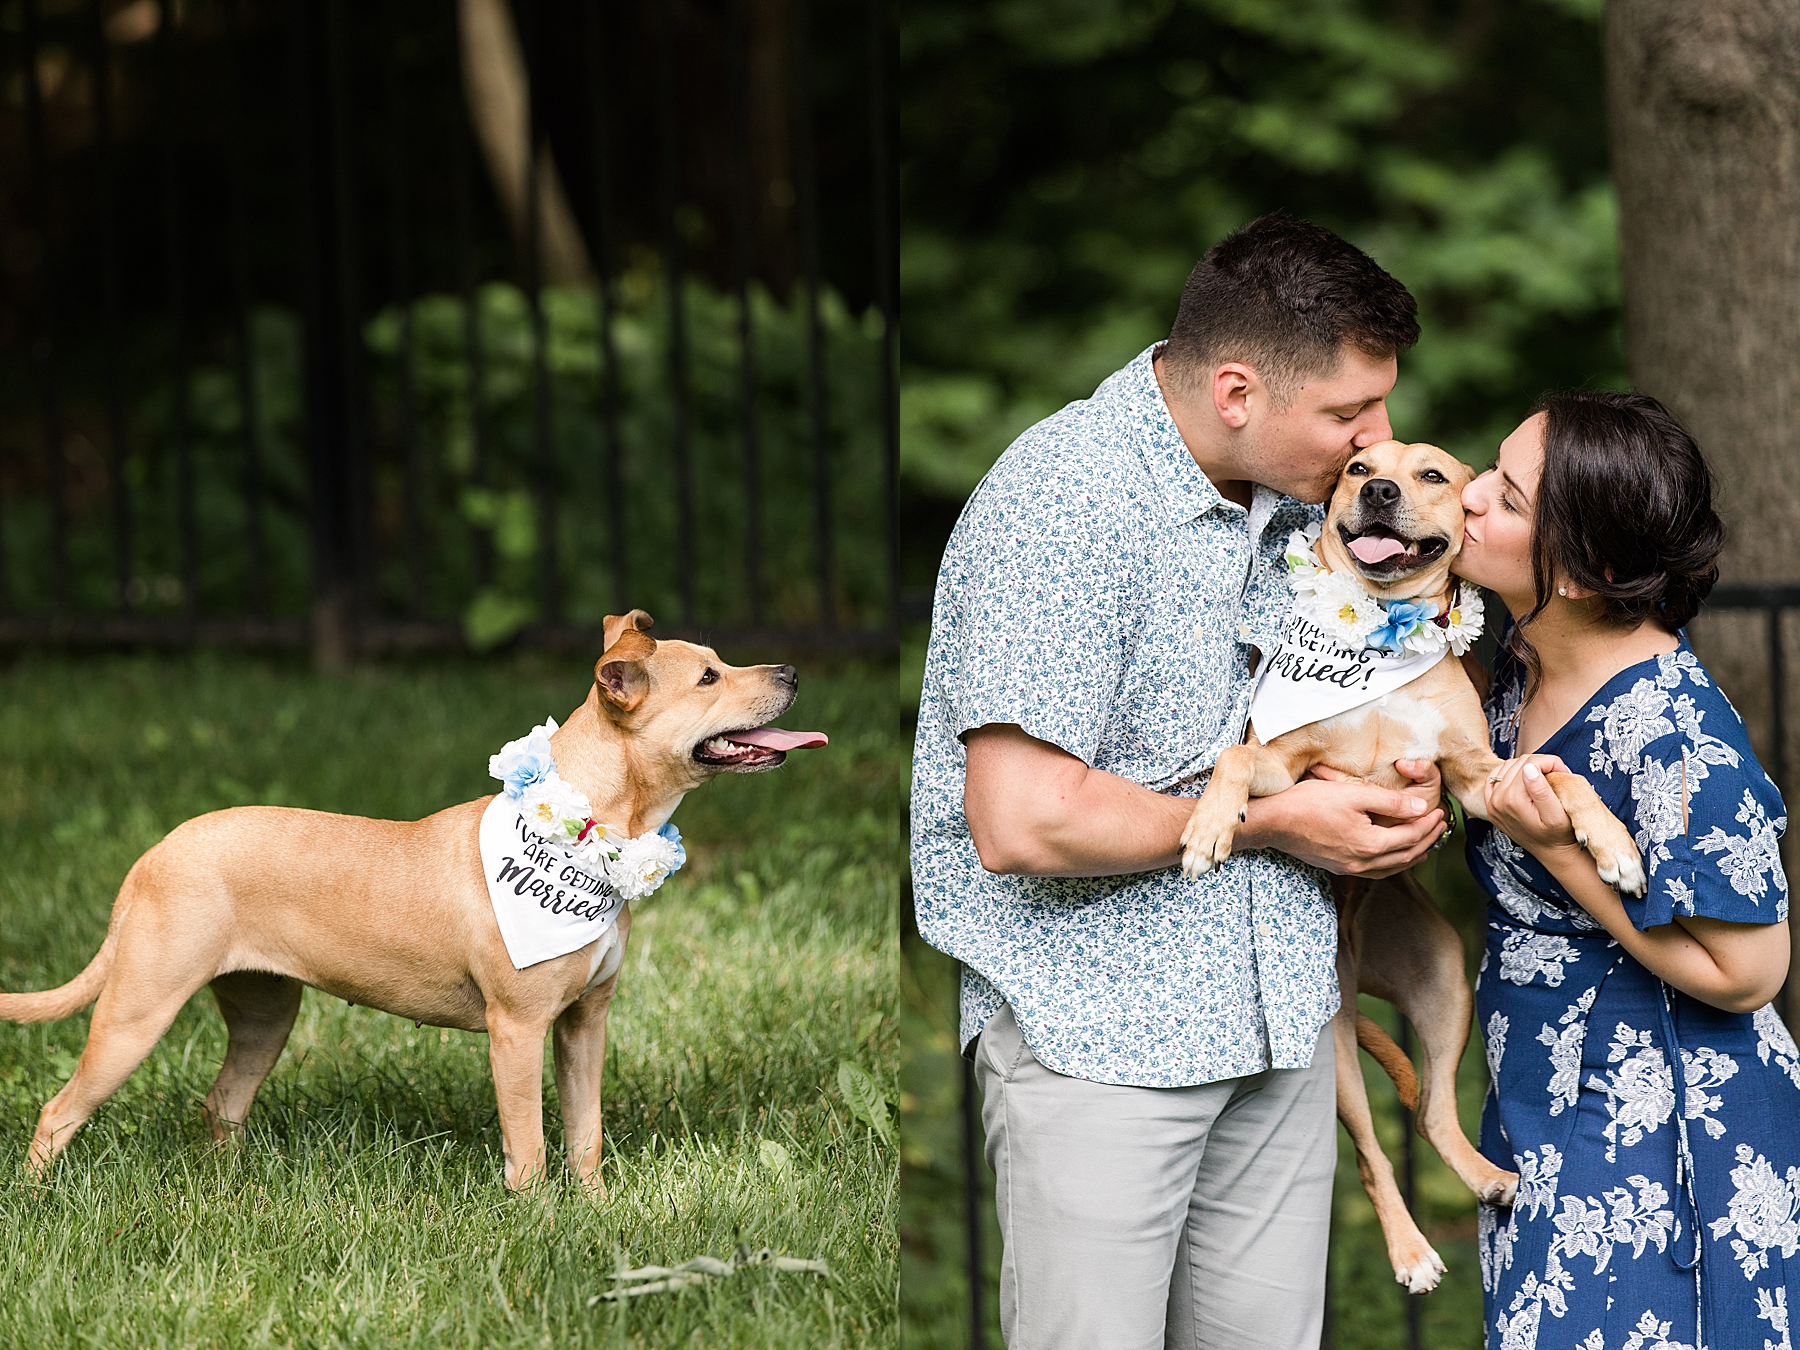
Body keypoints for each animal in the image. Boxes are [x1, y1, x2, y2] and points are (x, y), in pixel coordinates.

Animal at [0, 612, 824, 1195]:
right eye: (709, 677)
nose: (790, 668)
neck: (589, 829)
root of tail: (152, 856)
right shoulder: (518, 1031)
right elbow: (529, 1144)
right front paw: (538, 1222)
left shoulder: (585, 1025)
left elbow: (584, 1133)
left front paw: (592, 1209)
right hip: (137, 1012)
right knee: (59, 1110)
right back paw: (38, 1201)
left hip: (264, 1015)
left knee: (222, 1103)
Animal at [1180, 441, 1648, 1288]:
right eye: (1357, 468)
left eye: (1432, 475)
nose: (1382, 491)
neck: (1377, 639)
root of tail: (1361, 964)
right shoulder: (1285, 767)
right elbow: (1233, 758)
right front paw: (1206, 829)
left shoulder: (1480, 779)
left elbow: (1563, 776)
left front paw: (1617, 849)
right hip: (1335, 1052)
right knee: (1372, 1154)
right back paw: (1411, 1252)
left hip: (1444, 988)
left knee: (1430, 1109)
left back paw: (1489, 1178)